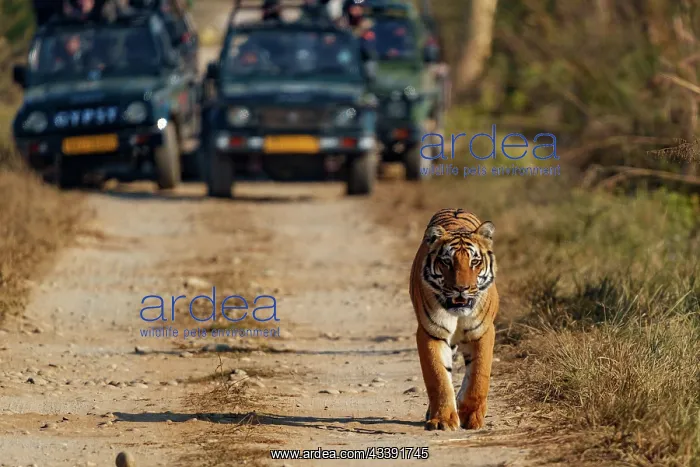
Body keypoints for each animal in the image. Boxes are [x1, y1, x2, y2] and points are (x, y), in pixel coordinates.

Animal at [409, 208, 499, 431]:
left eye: (474, 262)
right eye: (447, 262)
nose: (461, 288)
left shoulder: (483, 331)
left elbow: (479, 375)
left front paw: (472, 416)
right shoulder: (430, 332)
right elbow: (438, 377)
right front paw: (443, 419)